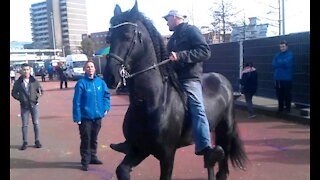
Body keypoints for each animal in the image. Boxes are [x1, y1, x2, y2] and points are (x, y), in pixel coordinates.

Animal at [104, 1, 246, 180]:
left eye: (127, 36)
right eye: (109, 38)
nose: (109, 76)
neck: (151, 103)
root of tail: (223, 80)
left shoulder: (167, 155)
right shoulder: (139, 149)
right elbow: (122, 170)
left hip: (225, 129)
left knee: (222, 159)